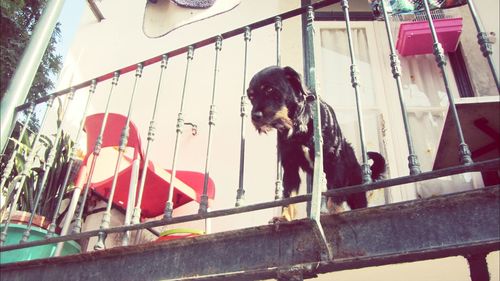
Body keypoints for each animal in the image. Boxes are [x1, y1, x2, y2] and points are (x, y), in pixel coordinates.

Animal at [247, 65, 386, 221]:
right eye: (251, 96)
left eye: (269, 89)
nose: (255, 116)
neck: (300, 124)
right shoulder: (290, 167)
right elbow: (288, 197)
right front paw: (284, 218)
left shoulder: (334, 160)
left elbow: (335, 193)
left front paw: (334, 212)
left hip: (356, 191)